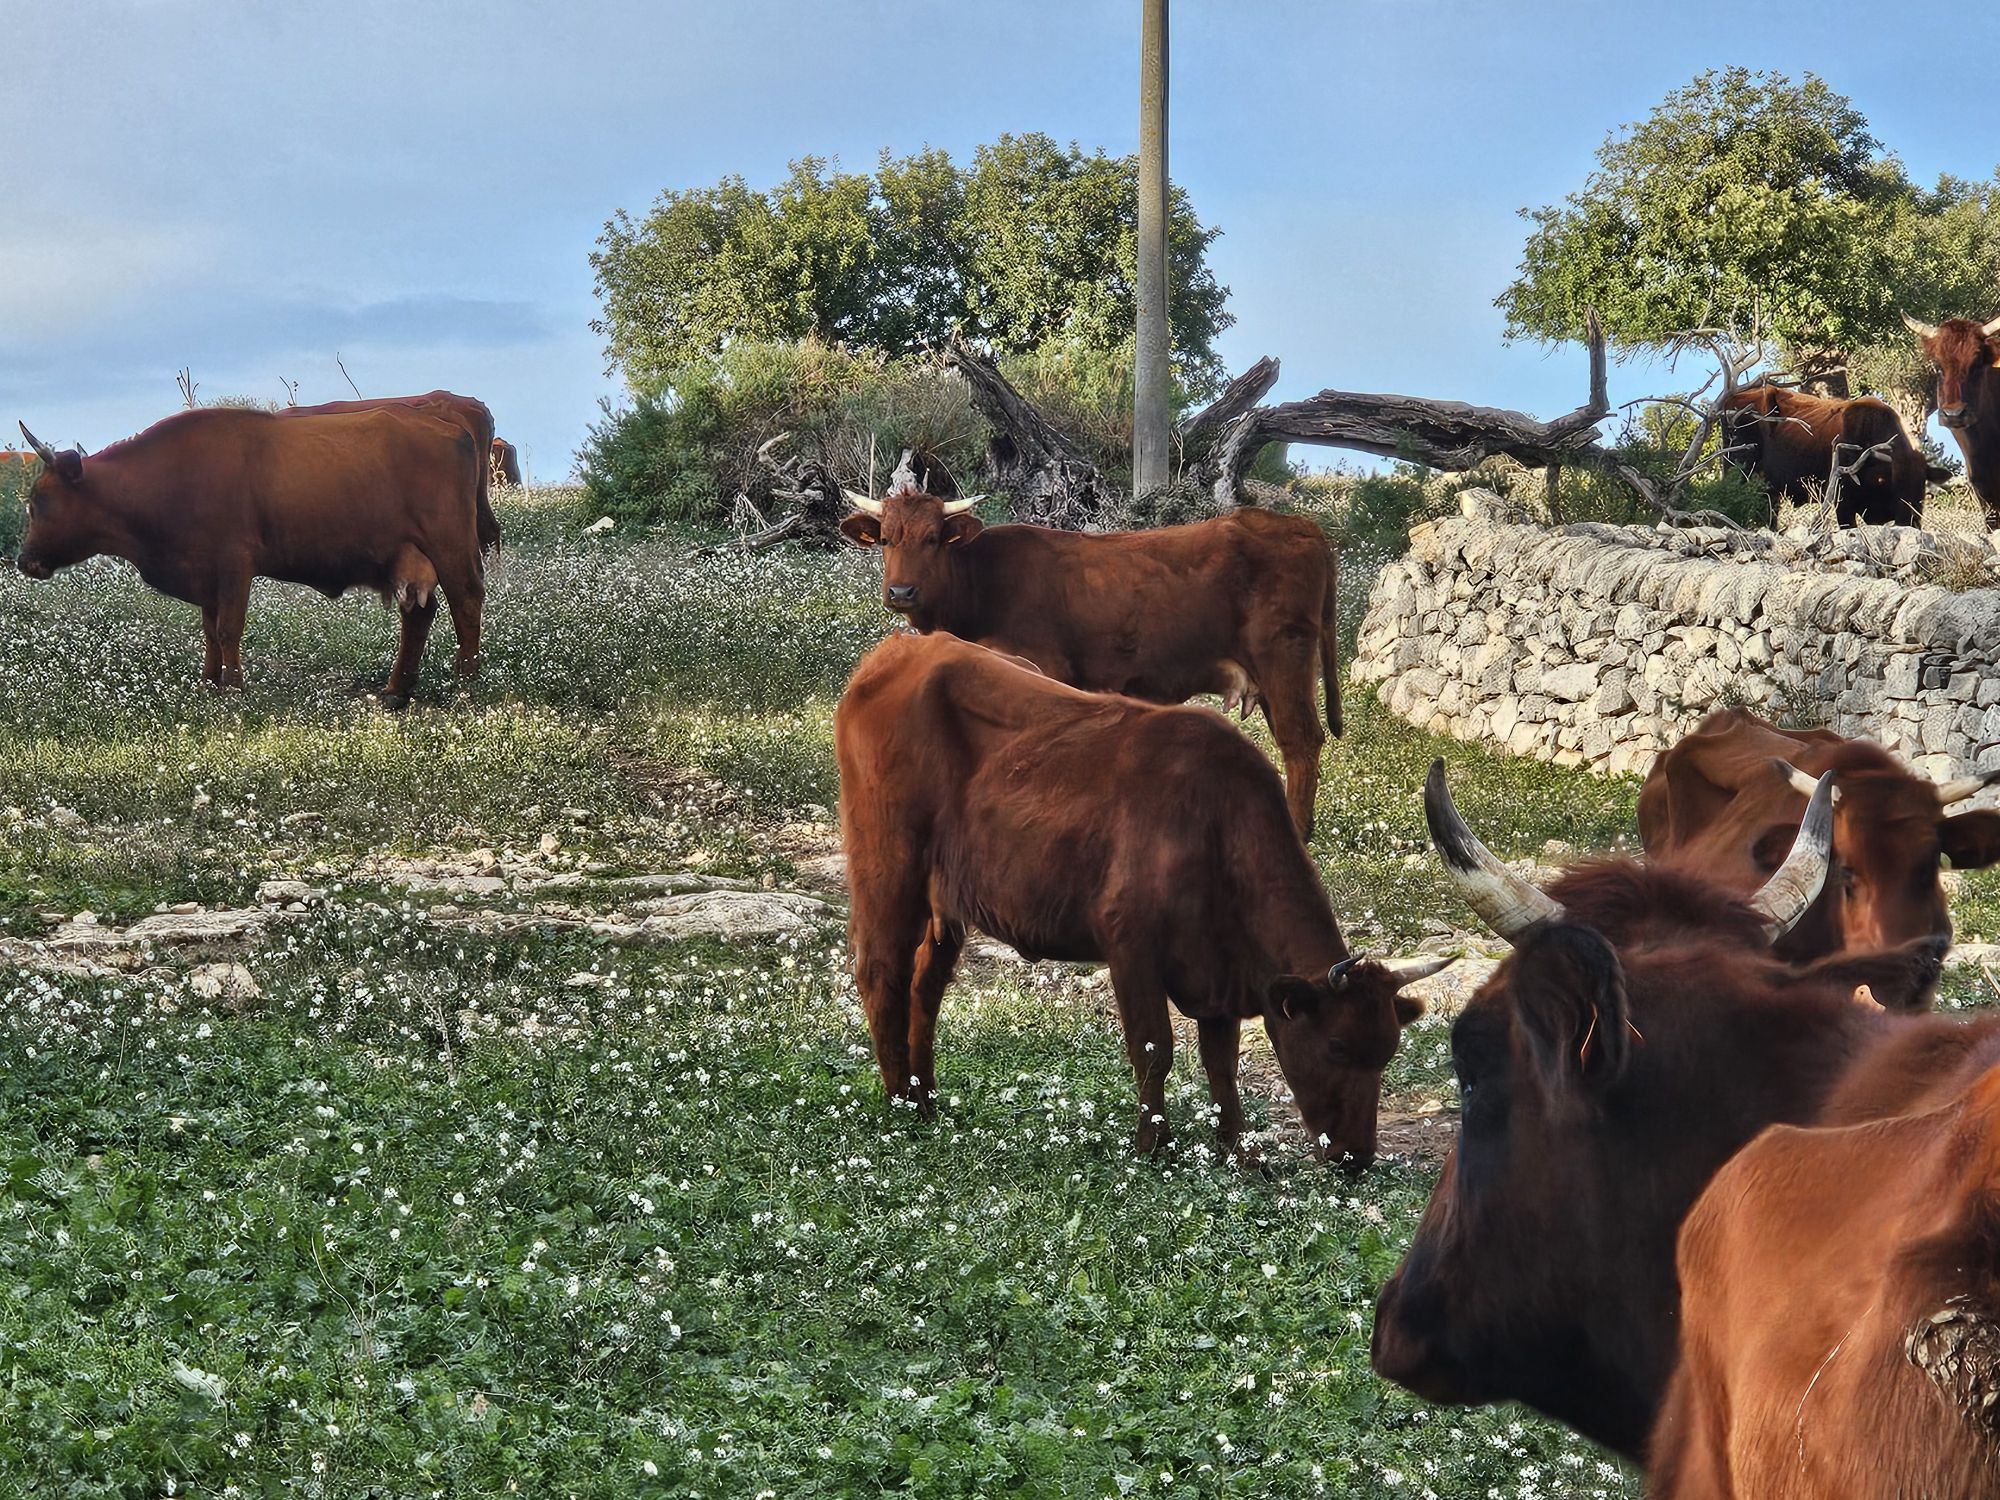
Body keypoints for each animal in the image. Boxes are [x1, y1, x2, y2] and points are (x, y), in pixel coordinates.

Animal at [13, 407, 485, 705]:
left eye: (40, 501)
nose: (24, 561)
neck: (168, 478)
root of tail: (449, 428)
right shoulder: (206, 574)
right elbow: (209, 631)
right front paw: (209, 683)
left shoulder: (234, 565)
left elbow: (228, 630)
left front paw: (235, 688)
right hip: (408, 557)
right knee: (419, 614)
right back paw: (397, 689)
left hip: (450, 545)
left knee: (466, 603)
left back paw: (465, 683)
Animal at [834, 632, 1446, 1164]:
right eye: (1338, 1047)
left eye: (1388, 1052)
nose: (1357, 1158)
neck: (1217, 825)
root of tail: (903, 649)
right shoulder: (1130, 945)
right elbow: (1154, 1050)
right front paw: (1154, 1147)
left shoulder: (1218, 973)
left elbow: (1221, 1063)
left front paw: (1239, 1152)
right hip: (889, 864)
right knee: (882, 973)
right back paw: (898, 1103)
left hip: (946, 899)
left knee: (926, 986)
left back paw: (925, 1100)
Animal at [839, 488, 1342, 837]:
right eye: (885, 539)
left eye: (932, 540)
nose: (901, 592)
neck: (981, 581)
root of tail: (1300, 526)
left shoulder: (1042, 669)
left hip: (1284, 658)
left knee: (1300, 740)